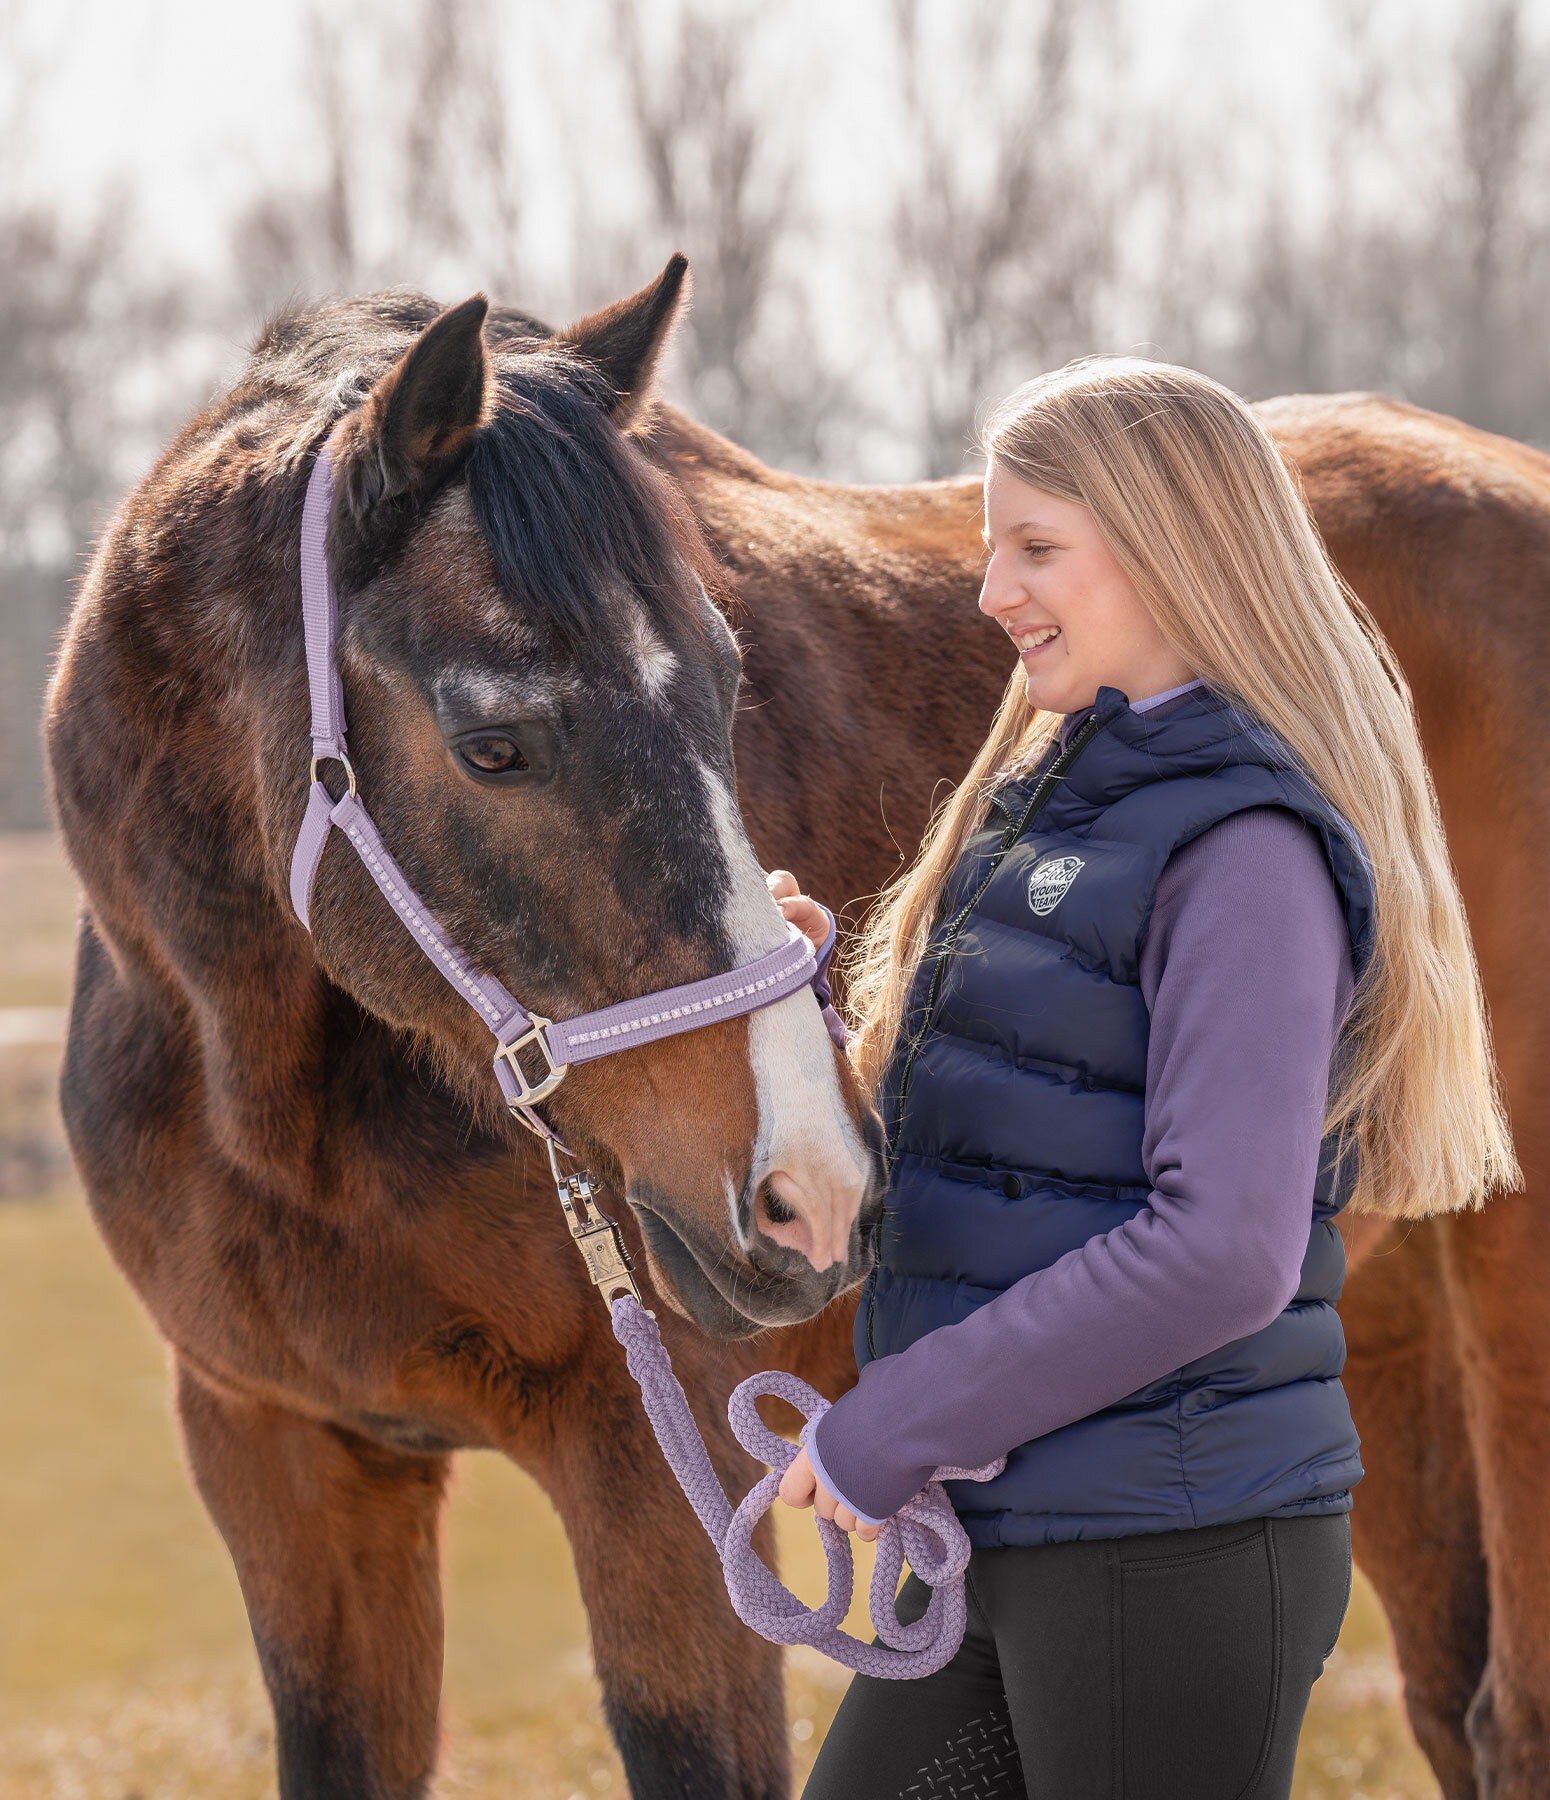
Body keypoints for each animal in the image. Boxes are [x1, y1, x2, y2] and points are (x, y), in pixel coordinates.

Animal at [48, 270, 1548, 1800]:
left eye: (726, 685)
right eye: (493, 744)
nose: (814, 1196)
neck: (281, 1107)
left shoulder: (663, 1483)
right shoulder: (289, 1463)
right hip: (1379, 1316)